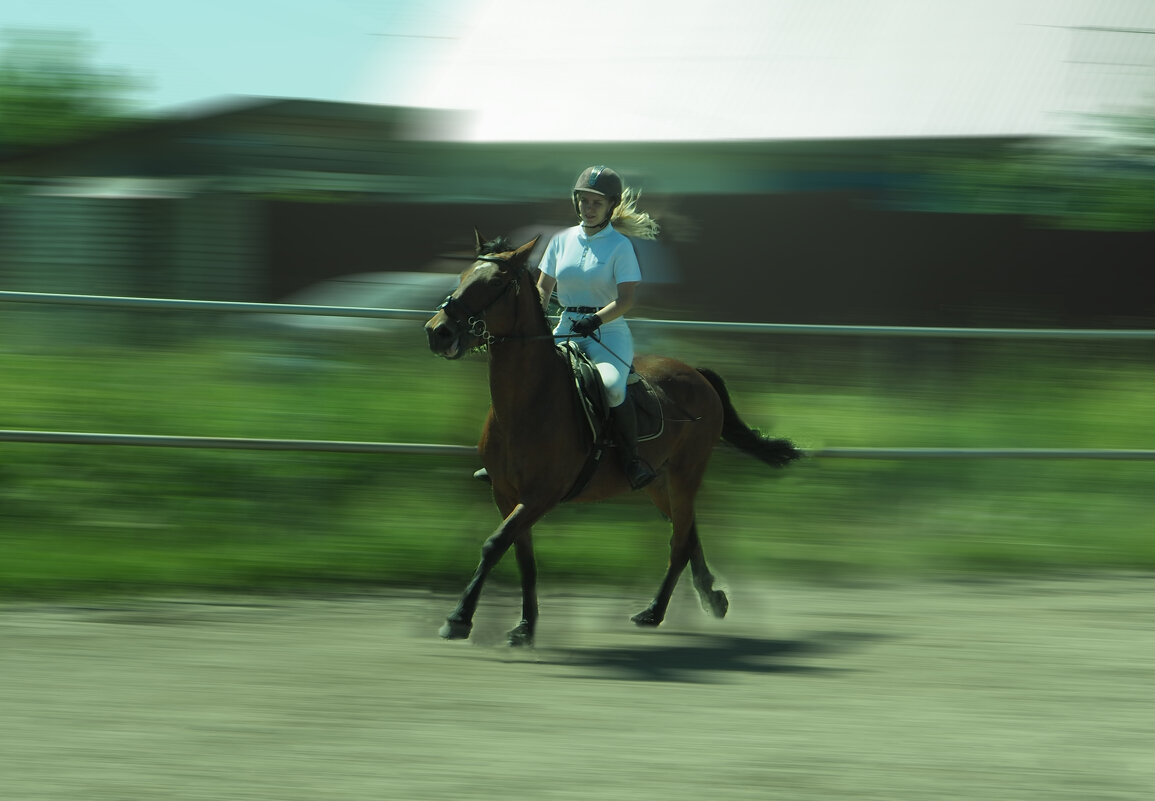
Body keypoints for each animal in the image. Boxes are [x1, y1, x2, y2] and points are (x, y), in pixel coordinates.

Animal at [425, 231, 803, 646]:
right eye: (462, 275)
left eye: (494, 283)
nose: (437, 331)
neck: (528, 402)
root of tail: (696, 373)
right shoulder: (506, 493)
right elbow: (522, 555)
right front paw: (525, 626)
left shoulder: (542, 495)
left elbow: (495, 544)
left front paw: (459, 618)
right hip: (658, 482)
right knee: (687, 533)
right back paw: (711, 598)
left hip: (686, 474)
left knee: (679, 542)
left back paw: (655, 612)